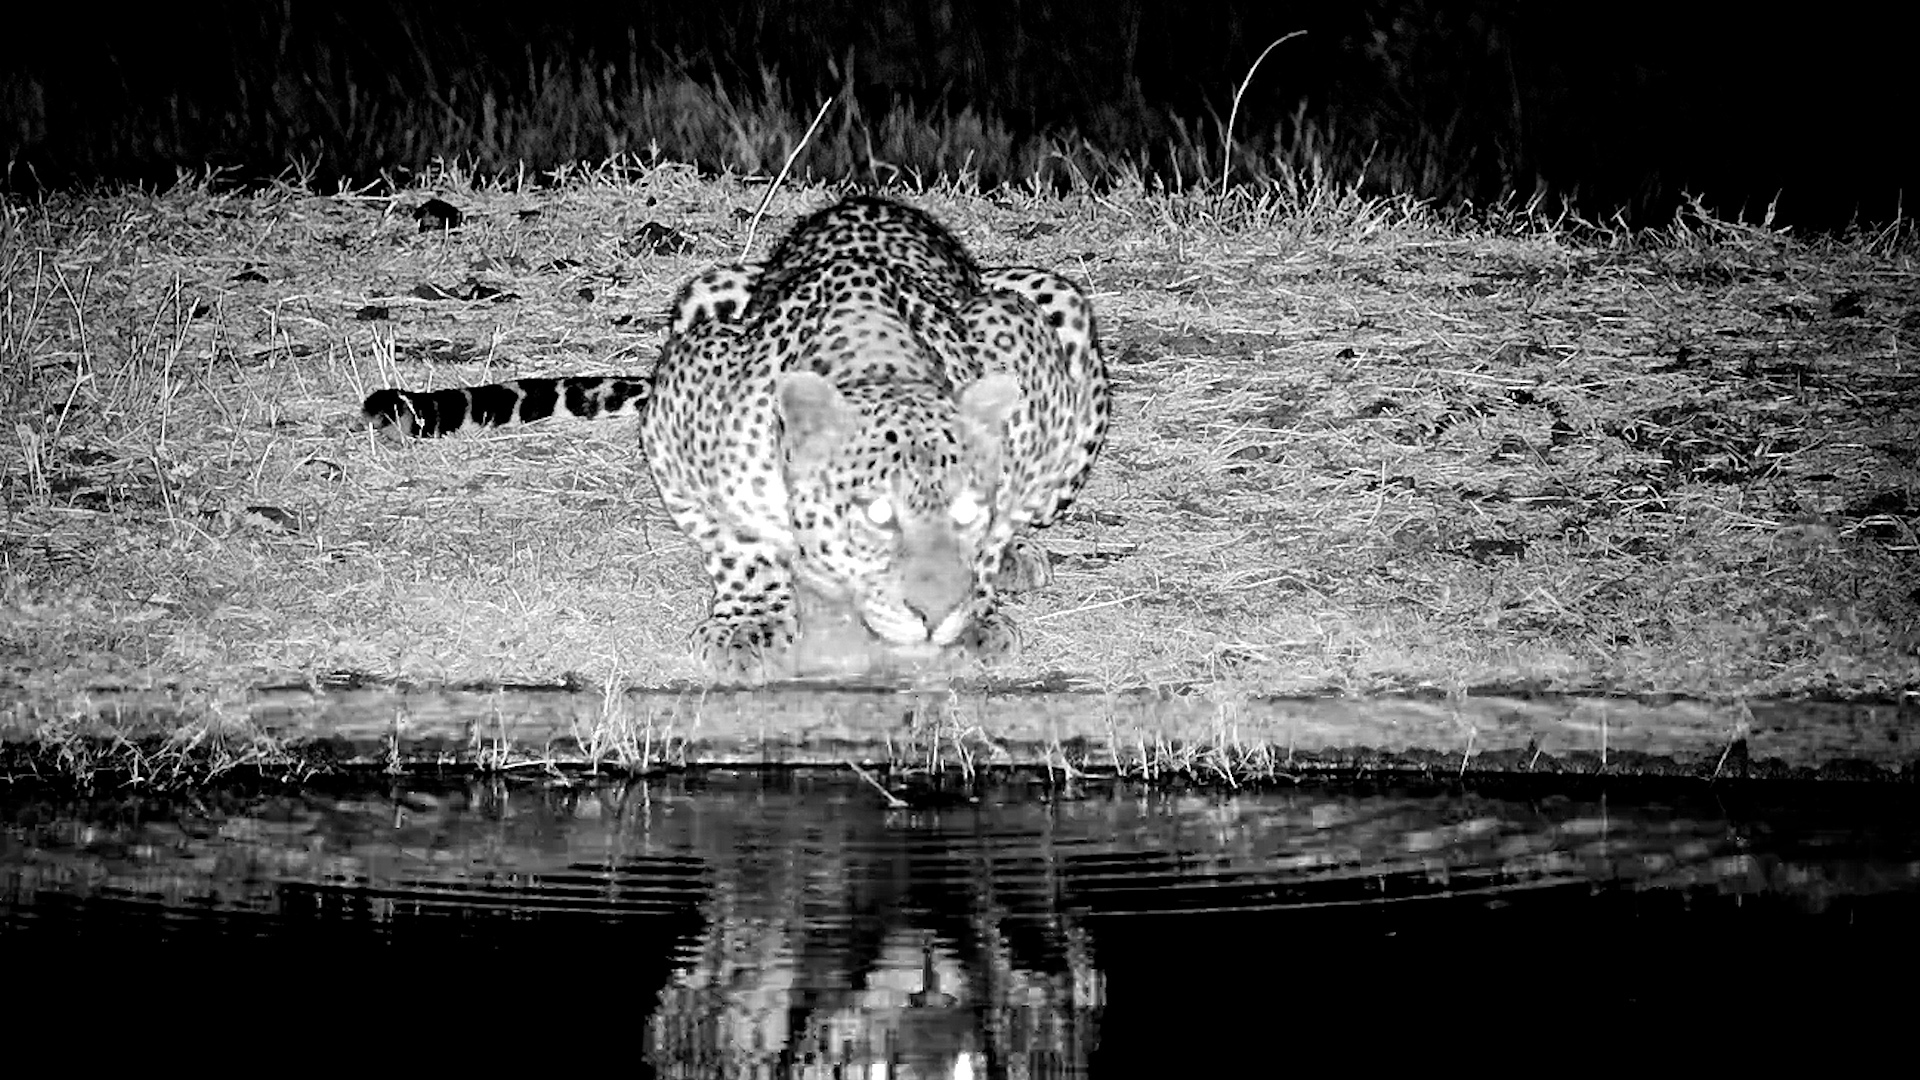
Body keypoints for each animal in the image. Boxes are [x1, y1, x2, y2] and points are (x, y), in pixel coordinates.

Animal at [362, 194, 1109, 679]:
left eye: (967, 514)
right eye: (876, 516)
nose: (933, 613)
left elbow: (1000, 516)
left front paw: (978, 607)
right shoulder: (680, 400)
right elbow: (738, 543)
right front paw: (749, 623)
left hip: (1050, 293)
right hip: (707, 286)